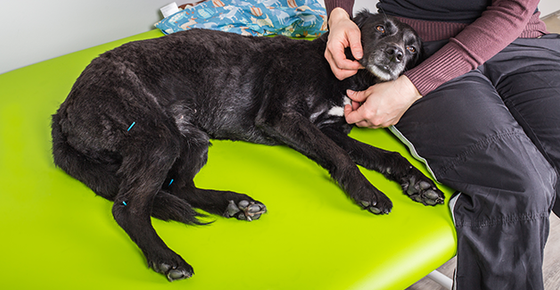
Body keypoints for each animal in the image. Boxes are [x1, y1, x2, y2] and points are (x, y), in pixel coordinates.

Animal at [52, 11, 444, 280]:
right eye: (380, 29)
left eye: (412, 47)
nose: (396, 55)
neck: (341, 77)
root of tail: (63, 108)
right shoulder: (283, 117)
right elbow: (342, 160)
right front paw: (368, 192)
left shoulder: (331, 130)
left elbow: (384, 155)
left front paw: (418, 183)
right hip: (158, 138)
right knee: (128, 207)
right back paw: (166, 258)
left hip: (191, 138)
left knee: (179, 186)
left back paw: (234, 204)